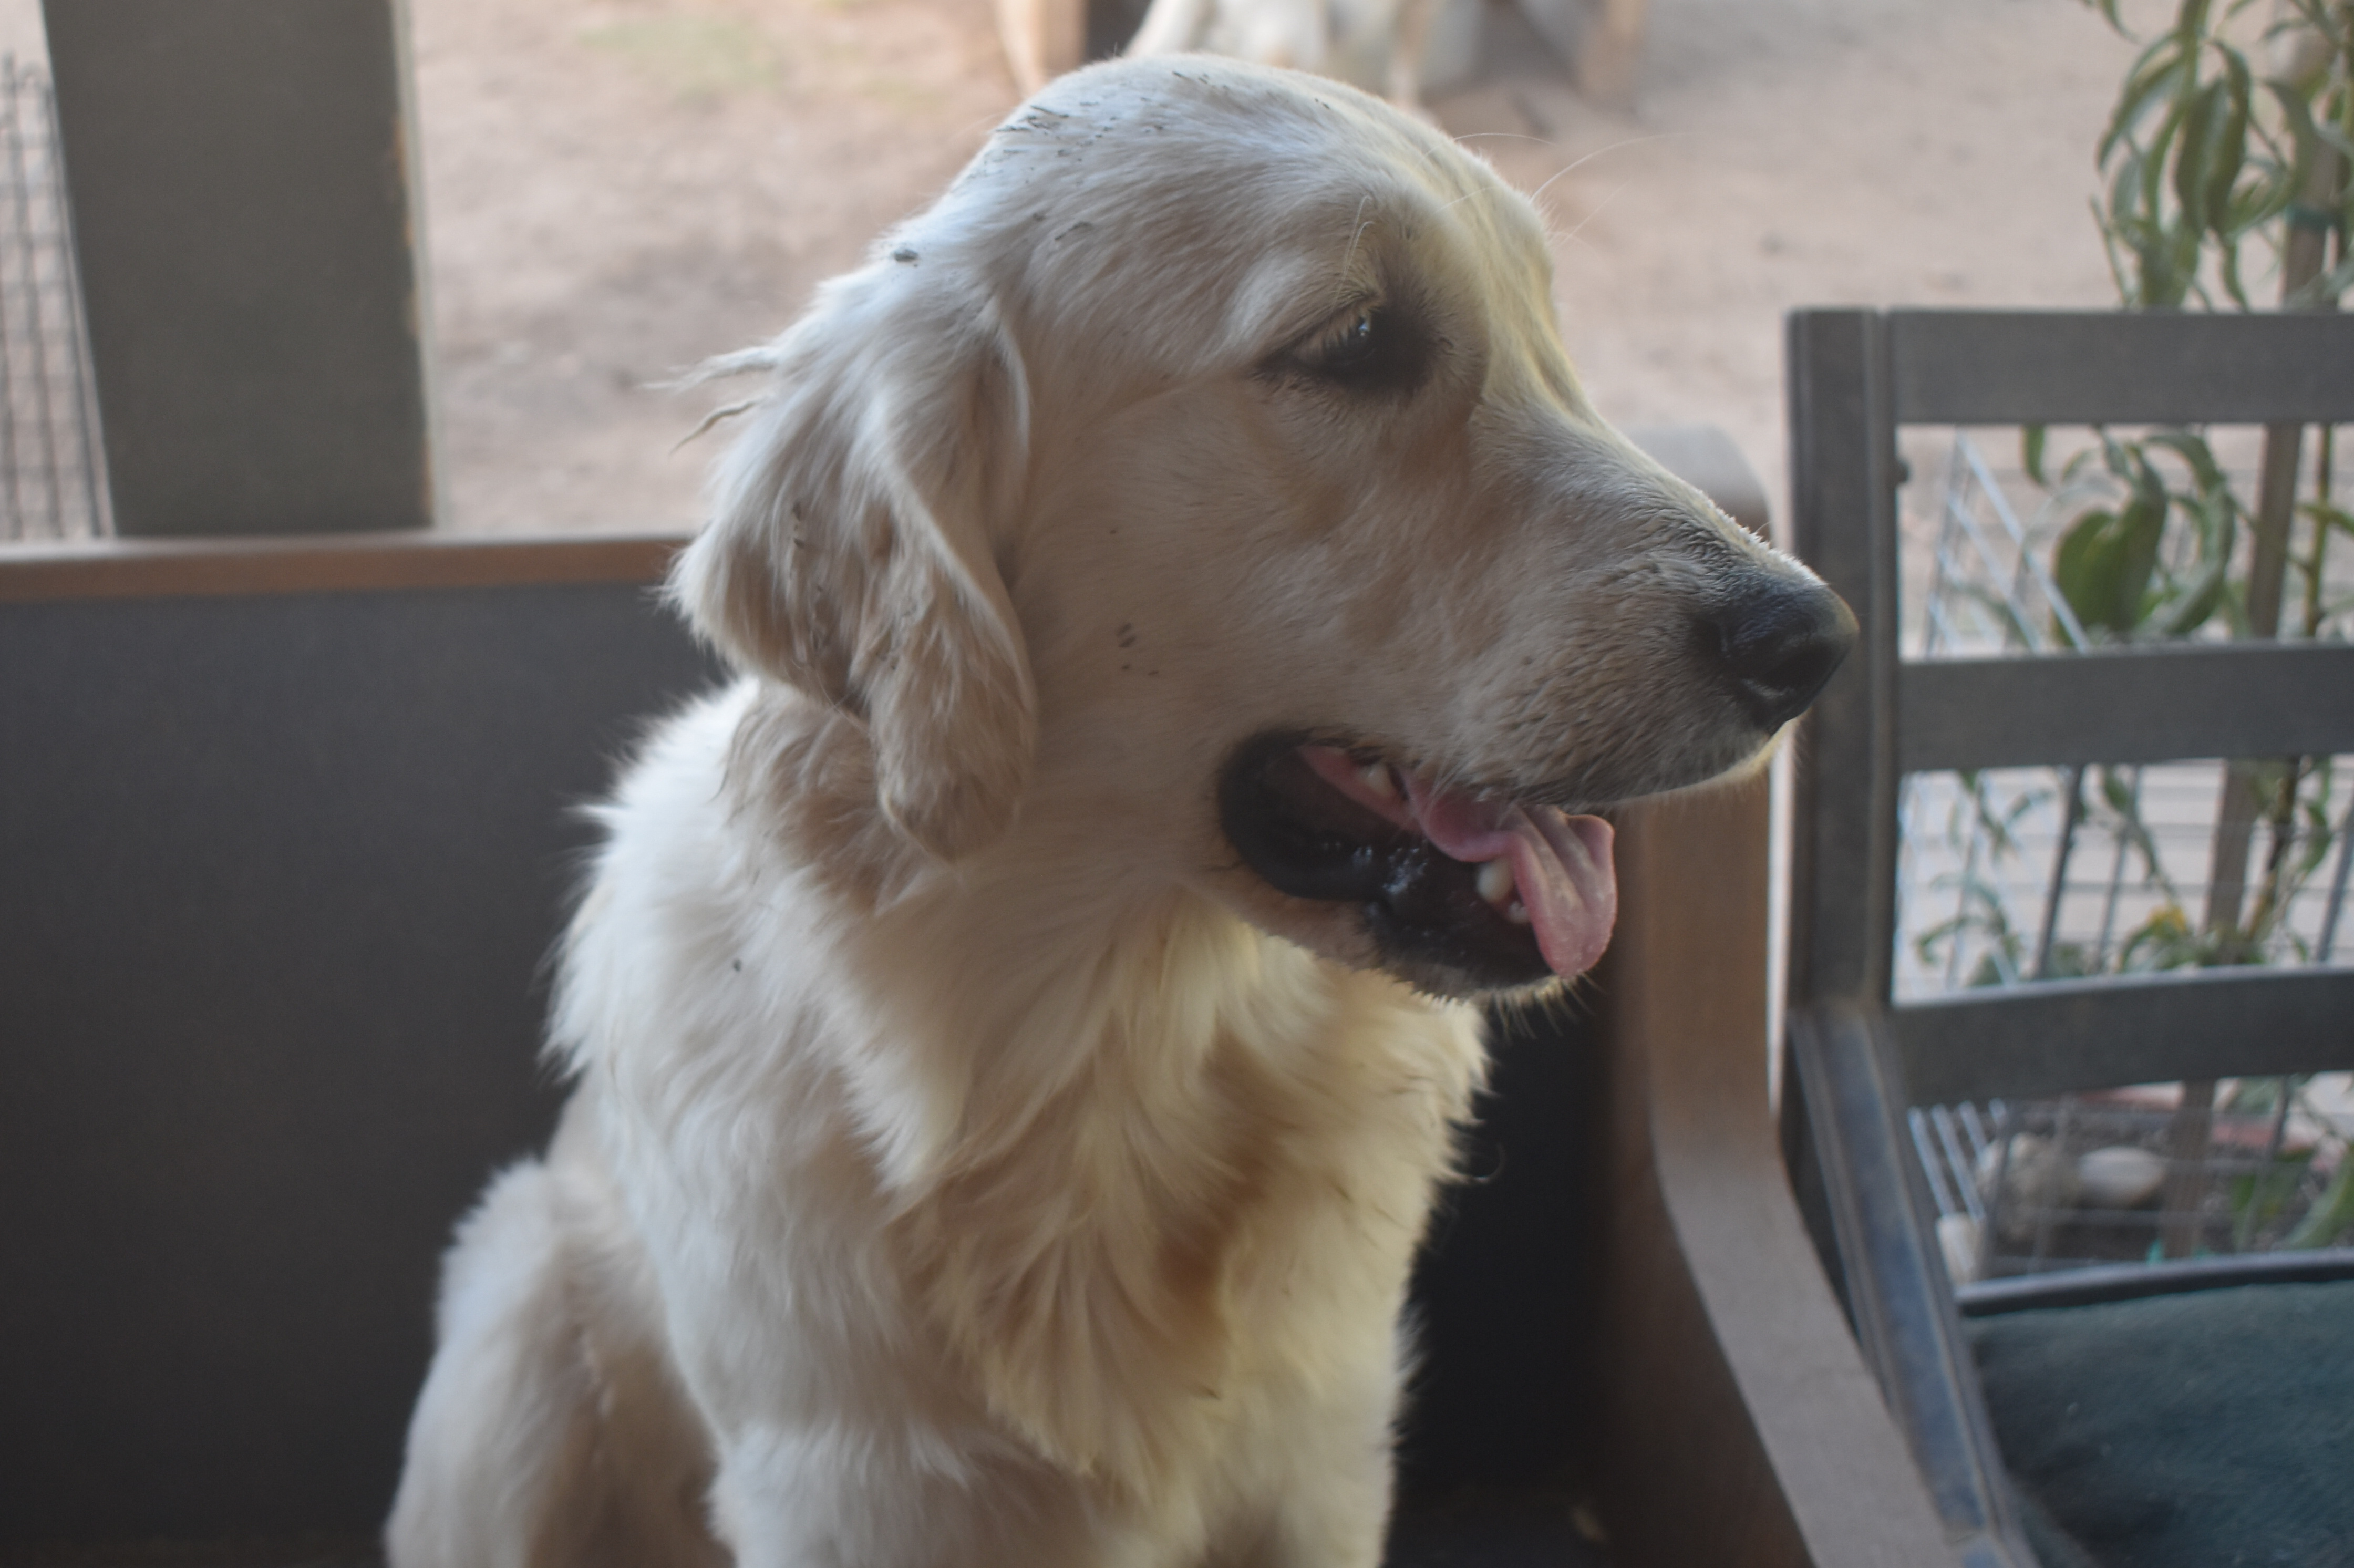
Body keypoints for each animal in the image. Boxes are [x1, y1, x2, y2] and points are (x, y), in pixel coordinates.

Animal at [387, 55, 1852, 1568]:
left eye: (1543, 326)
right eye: (1355, 339)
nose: (1813, 641)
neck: (1104, 1050)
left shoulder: (1323, 1457)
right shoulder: (853, 1493)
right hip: (511, 1334)